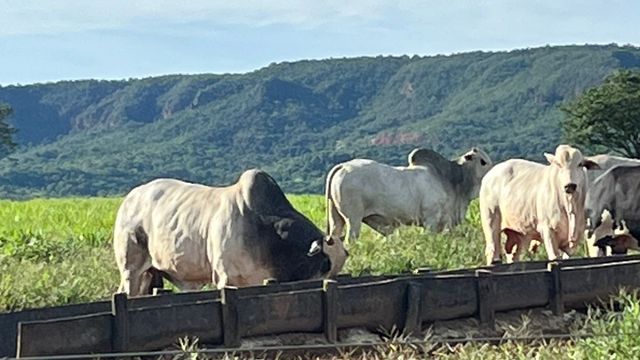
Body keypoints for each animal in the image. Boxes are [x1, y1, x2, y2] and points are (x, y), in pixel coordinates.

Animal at [328, 146, 492, 242]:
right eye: (483, 161)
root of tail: (343, 166)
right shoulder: (431, 219)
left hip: (337, 219)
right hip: (353, 219)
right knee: (350, 239)